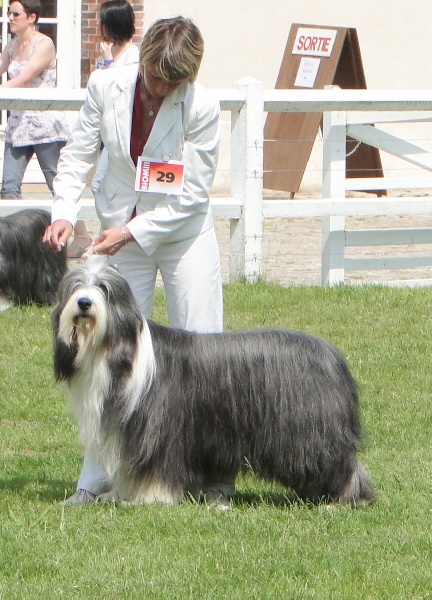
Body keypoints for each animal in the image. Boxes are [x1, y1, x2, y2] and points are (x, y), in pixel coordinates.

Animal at [52, 257, 377, 508]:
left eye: (103, 289)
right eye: (76, 286)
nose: (84, 303)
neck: (120, 350)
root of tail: (332, 355)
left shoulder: (156, 428)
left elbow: (156, 465)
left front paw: (151, 498)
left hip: (310, 433)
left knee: (341, 462)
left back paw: (345, 499)